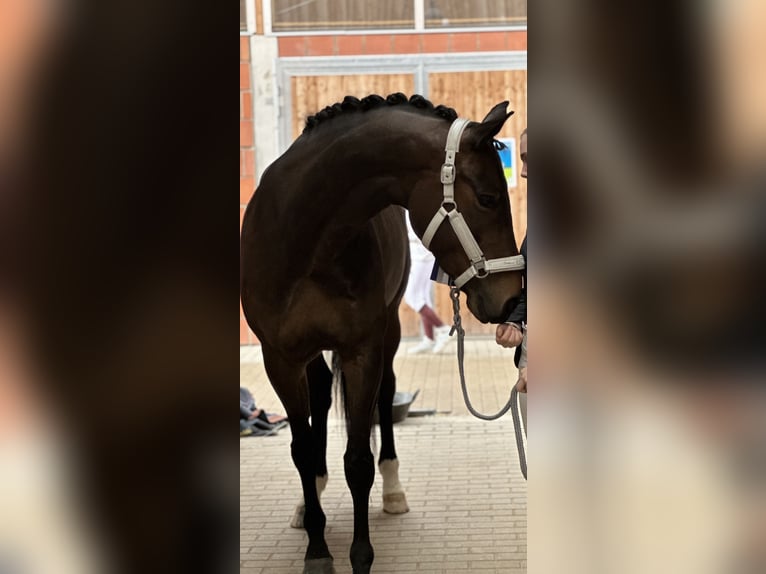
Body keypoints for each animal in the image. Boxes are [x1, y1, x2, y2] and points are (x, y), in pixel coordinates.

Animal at [243, 92, 524, 572]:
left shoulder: (364, 352)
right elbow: (301, 450)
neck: (307, 243)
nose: (511, 300)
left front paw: (360, 556)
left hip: (388, 332)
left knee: (385, 395)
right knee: (321, 396)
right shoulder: (280, 358)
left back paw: (393, 491)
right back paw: (311, 499)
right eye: (487, 198)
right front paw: (317, 550)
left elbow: (359, 460)